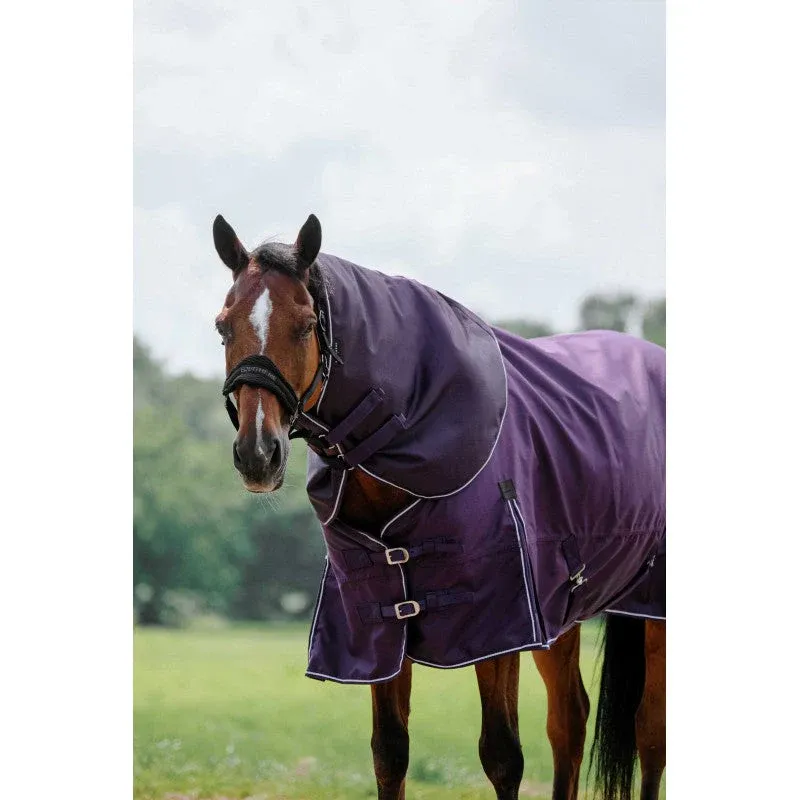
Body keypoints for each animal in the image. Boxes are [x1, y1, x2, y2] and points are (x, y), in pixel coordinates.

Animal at [211, 212, 666, 800]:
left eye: (307, 325)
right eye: (224, 326)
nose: (257, 453)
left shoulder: (498, 623)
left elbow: (502, 757)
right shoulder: (381, 618)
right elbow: (390, 753)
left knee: (649, 730)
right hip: (562, 614)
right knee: (570, 720)